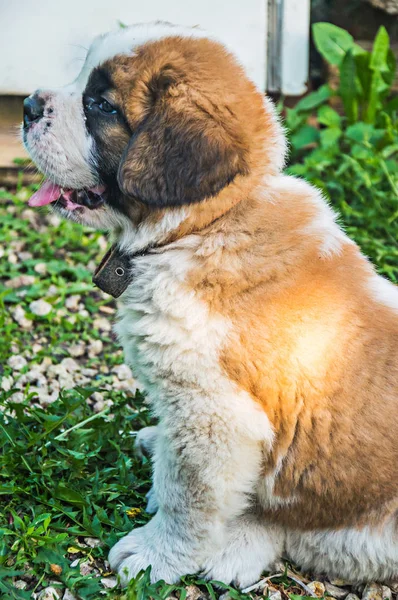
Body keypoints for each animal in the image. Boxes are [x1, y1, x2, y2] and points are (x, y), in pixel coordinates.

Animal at [23, 22, 398, 584]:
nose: (26, 104)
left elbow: (190, 498)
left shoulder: (215, 413)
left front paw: (156, 555)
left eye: (101, 106)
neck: (209, 223)